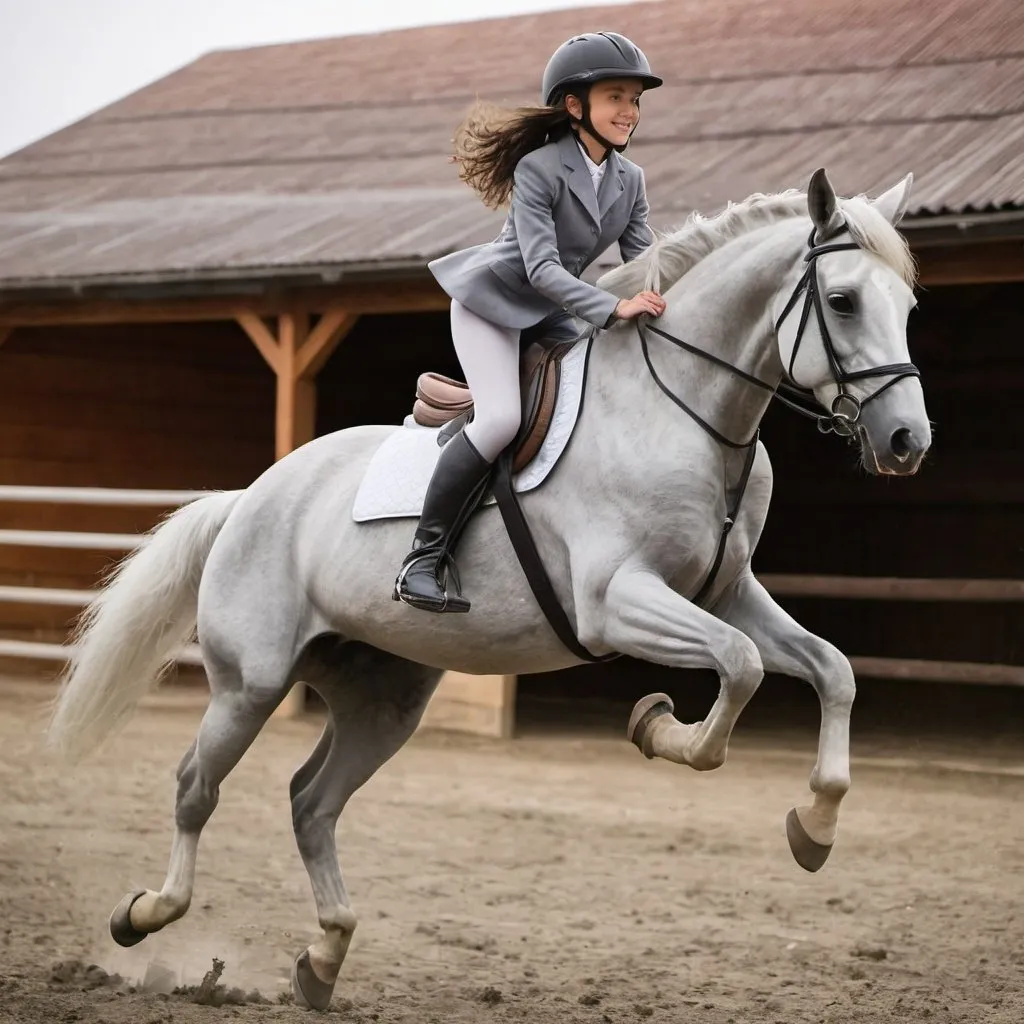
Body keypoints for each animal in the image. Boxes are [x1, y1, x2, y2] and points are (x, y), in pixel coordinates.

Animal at [46, 167, 929, 1007]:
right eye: (843, 301)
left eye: (909, 304)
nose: (906, 441)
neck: (687, 415)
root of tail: (251, 496)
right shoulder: (618, 605)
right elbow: (739, 670)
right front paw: (654, 726)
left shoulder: (724, 593)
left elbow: (829, 670)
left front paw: (814, 826)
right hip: (250, 684)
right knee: (197, 788)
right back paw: (143, 917)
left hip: (384, 697)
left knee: (311, 801)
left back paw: (324, 959)